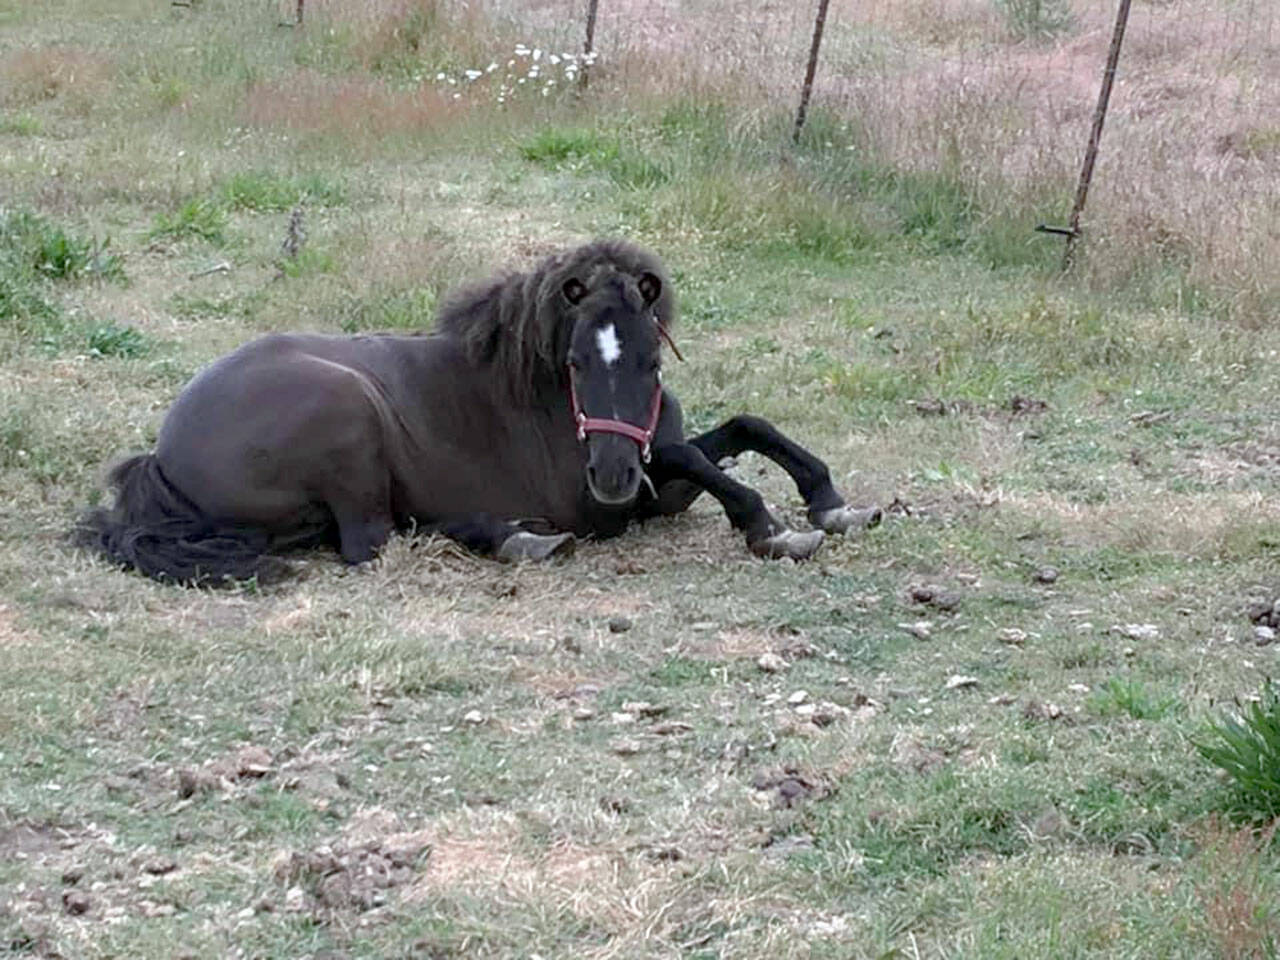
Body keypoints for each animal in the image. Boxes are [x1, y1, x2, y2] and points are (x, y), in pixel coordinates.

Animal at [78, 239, 880, 583]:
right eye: (576, 363)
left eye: (651, 360)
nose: (612, 476)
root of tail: (162, 455)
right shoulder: (612, 503)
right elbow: (698, 456)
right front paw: (771, 528)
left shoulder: (657, 490)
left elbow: (741, 430)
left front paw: (831, 501)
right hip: (349, 412)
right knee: (371, 542)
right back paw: (517, 537)